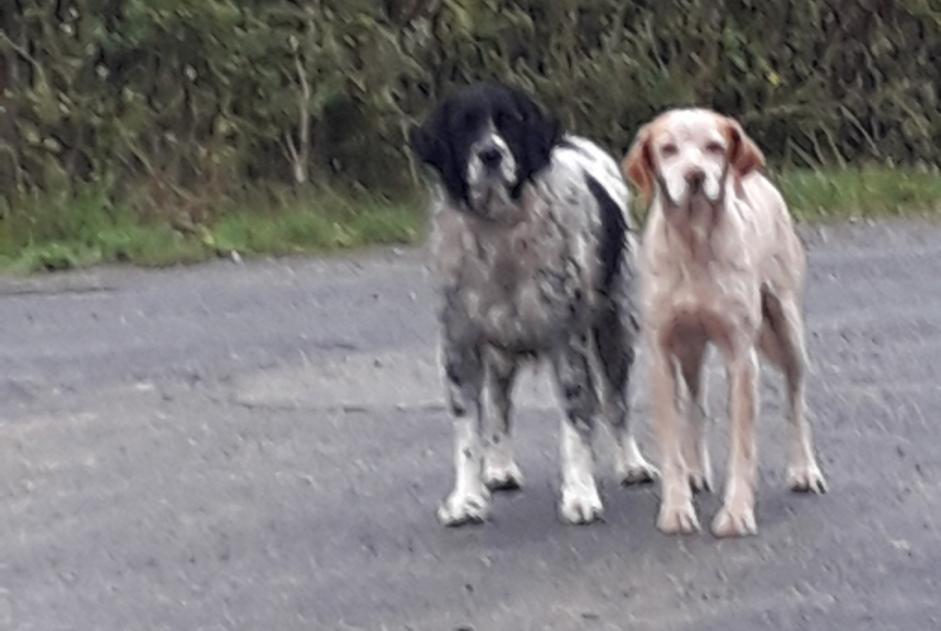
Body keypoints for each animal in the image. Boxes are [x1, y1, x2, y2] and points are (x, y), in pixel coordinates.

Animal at [408, 85, 656, 528]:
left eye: (510, 121)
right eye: (464, 125)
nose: (490, 154)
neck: (498, 235)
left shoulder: (567, 340)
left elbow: (577, 421)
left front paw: (580, 495)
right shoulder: (460, 345)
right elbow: (469, 429)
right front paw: (467, 499)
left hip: (615, 329)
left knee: (616, 402)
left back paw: (632, 464)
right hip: (500, 352)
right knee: (499, 405)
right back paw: (500, 468)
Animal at [620, 110, 828, 540]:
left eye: (714, 147)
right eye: (668, 149)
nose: (696, 176)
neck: (694, 243)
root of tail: (761, 179)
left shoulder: (741, 357)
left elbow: (743, 447)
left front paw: (736, 514)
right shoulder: (662, 354)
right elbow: (672, 444)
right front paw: (677, 509)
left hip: (786, 329)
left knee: (796, 399)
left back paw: (804, 470)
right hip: (690, 348)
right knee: (696, 402)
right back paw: (696, 470)